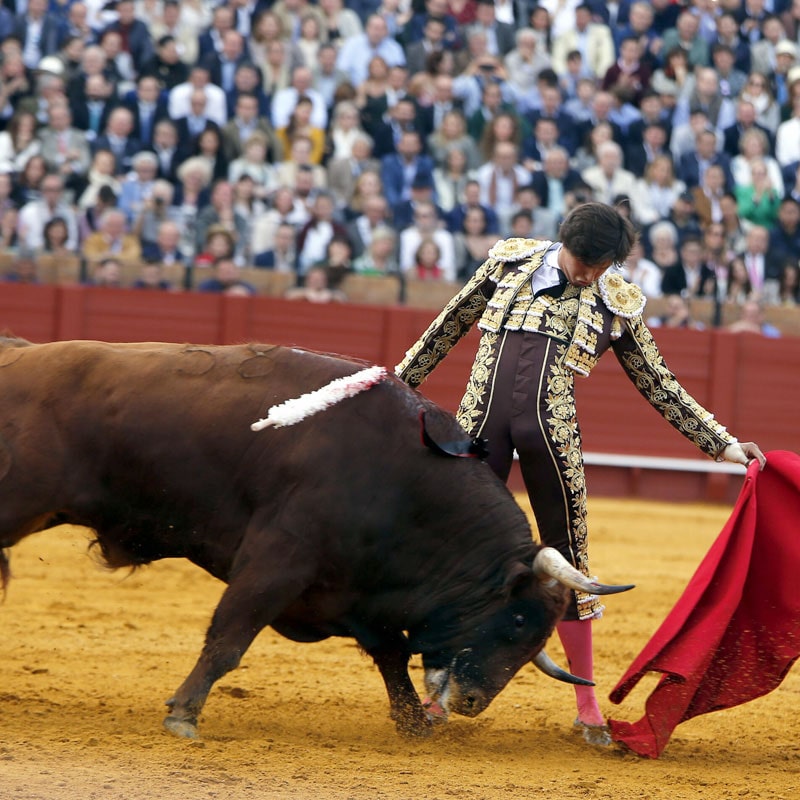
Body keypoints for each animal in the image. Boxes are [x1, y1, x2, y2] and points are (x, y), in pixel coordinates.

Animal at [0, 336, 632, 736]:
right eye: (521, 620)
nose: (473, 704)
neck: (404, 479)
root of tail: (18, 354)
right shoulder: (277, 561)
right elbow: (229, 637)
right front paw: (183, 715)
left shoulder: (359, 593)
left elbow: (391, 655)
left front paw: (412, 724)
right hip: (19, 503)